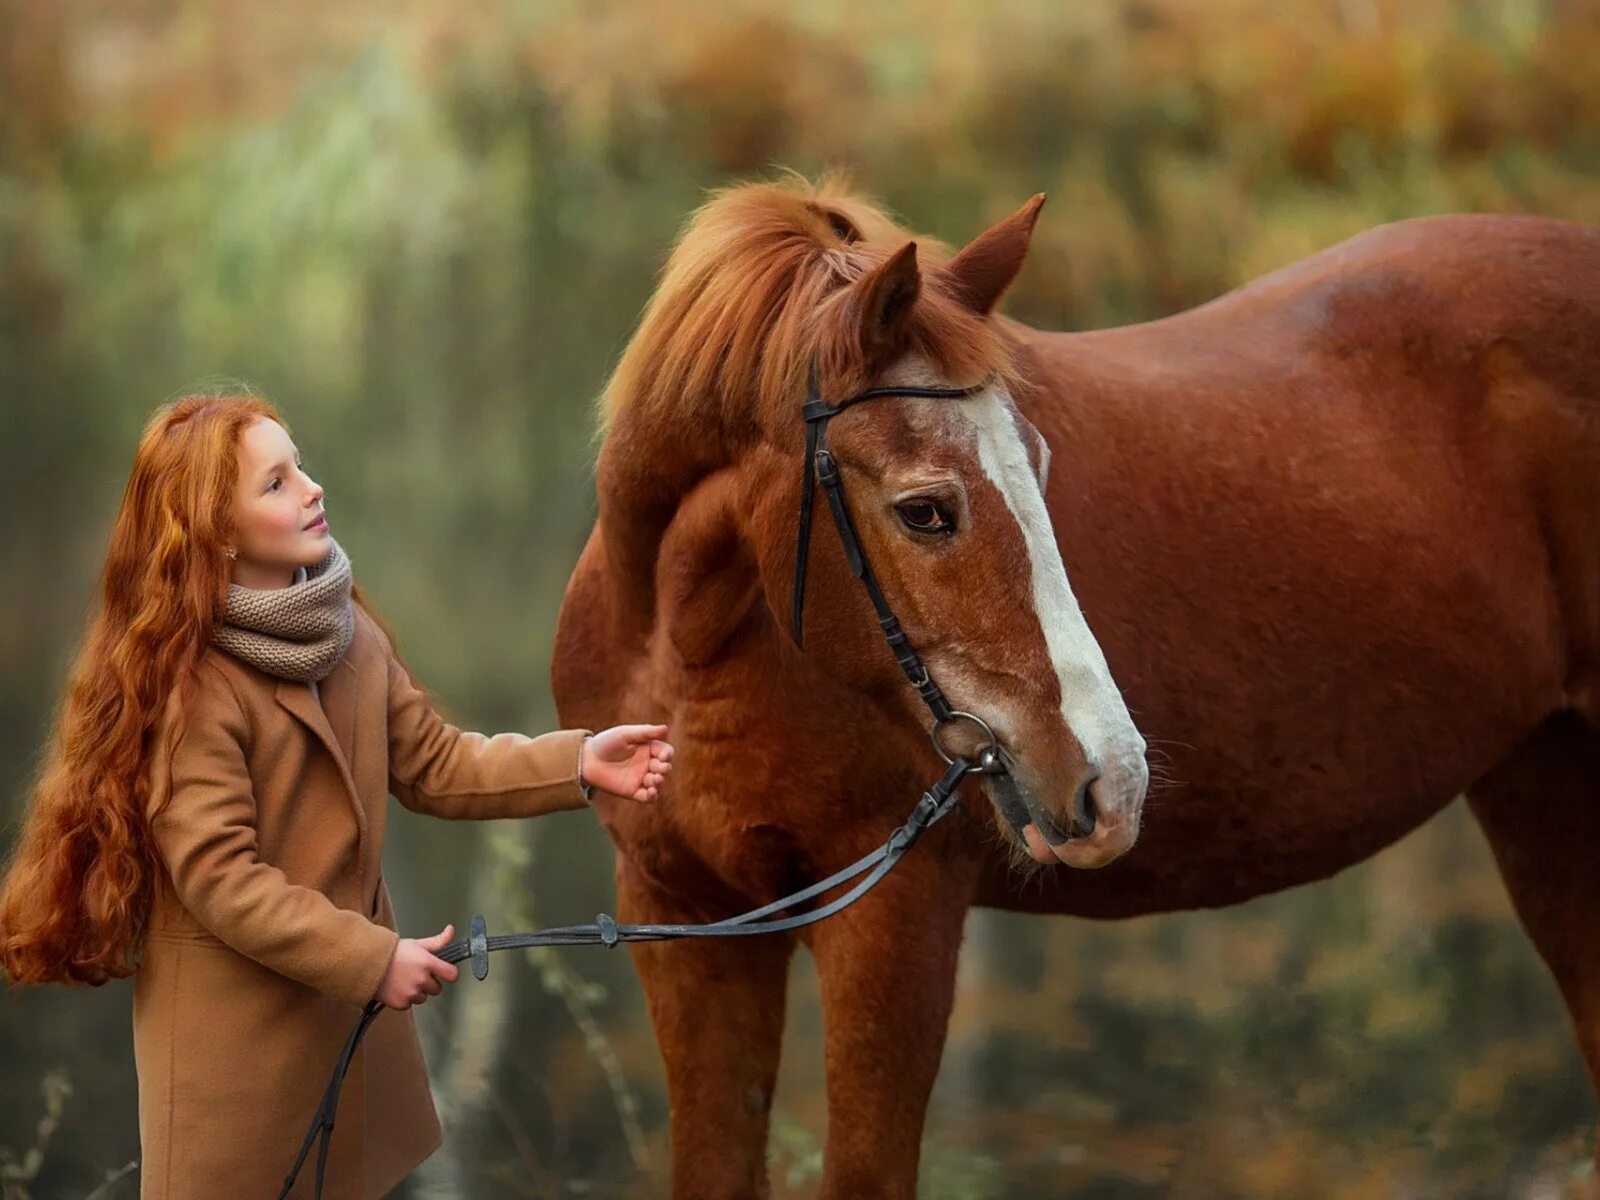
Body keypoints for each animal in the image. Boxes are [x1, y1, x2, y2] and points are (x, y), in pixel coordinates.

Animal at [553, 180, 1600, 1200]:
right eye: (924, 511)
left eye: (1043, 467)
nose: (1113, 779)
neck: (695, 666)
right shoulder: (691, 922)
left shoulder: (893, 923)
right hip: (1543, 789)